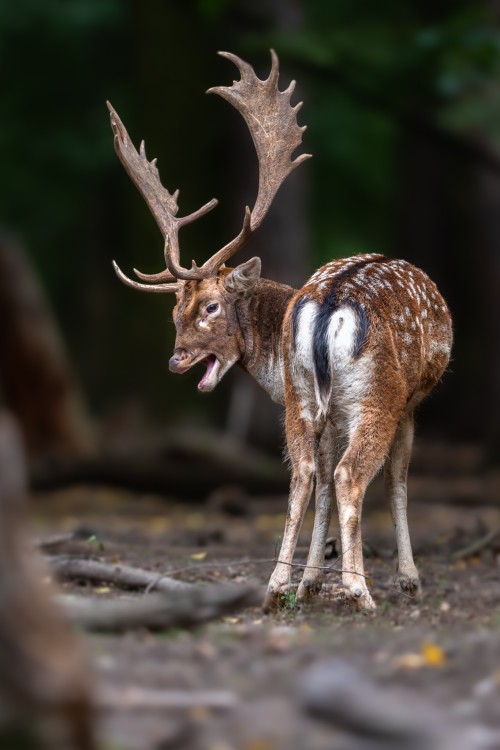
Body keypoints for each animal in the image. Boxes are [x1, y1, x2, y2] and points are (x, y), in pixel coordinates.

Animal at [109, 50, 454, 612]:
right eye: (175, 313)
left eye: (207, 308)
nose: (175, 360)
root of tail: (331, 300)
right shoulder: (409, 403)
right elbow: (397, 481)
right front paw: (406, 579)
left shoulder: (324, 409)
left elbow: (324, 488)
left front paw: (308, 580)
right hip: (376, 396)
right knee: (348, 476)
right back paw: (358, 590)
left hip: (305, 398)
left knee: (304, 476)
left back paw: (276, 588)